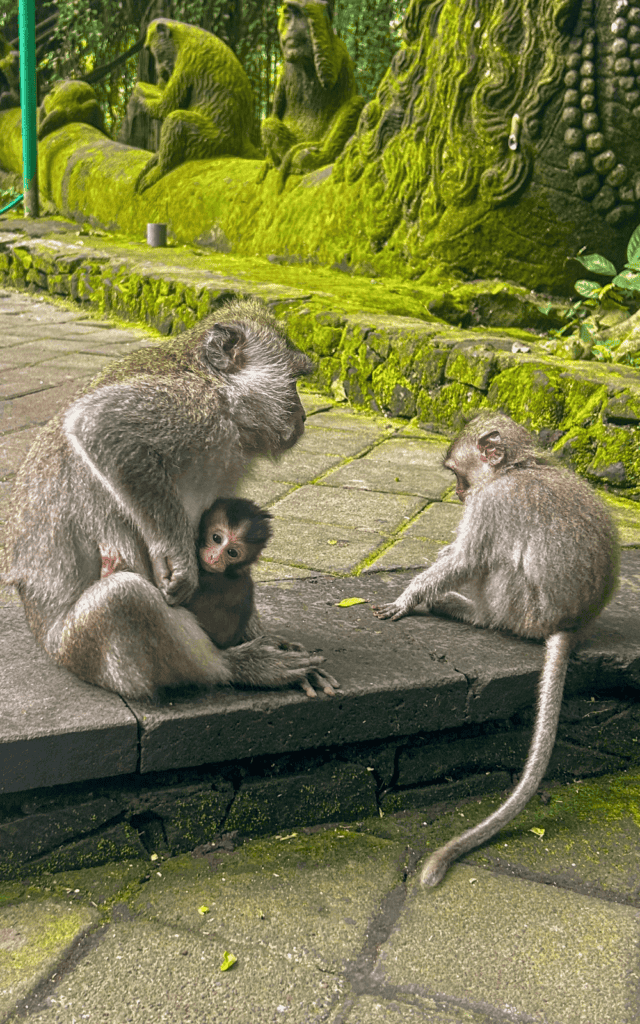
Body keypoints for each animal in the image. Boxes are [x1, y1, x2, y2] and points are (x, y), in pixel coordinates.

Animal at [372, 411, 618, 884]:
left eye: (458, 473)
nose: (459, 494)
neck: (516, 468)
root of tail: (569, 624)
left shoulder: (491, 504)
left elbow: (467, 559)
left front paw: (409, 598)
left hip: (516, 607)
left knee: (494, 565)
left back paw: (457, 607)